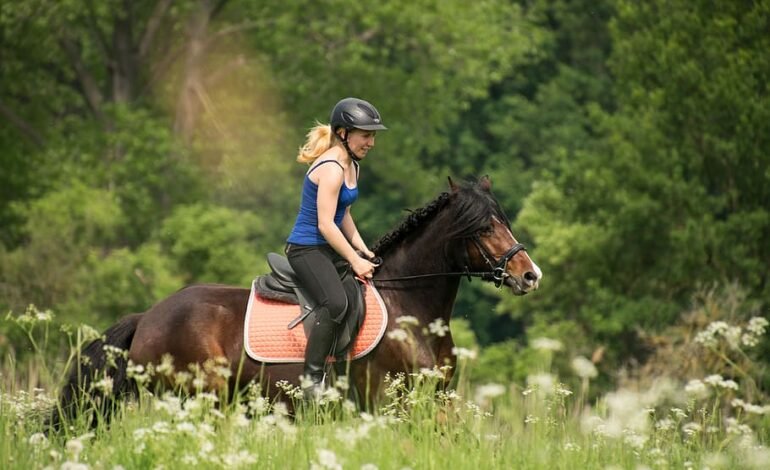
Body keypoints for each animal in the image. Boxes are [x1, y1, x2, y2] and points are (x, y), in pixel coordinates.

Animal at [49, 176, 540, 426]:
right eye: (482, 228)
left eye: (504, 220)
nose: (529, 275)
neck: (412, 311)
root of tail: (148, 316)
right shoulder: (390, 402)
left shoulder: (437, 399)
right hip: (198, 399)